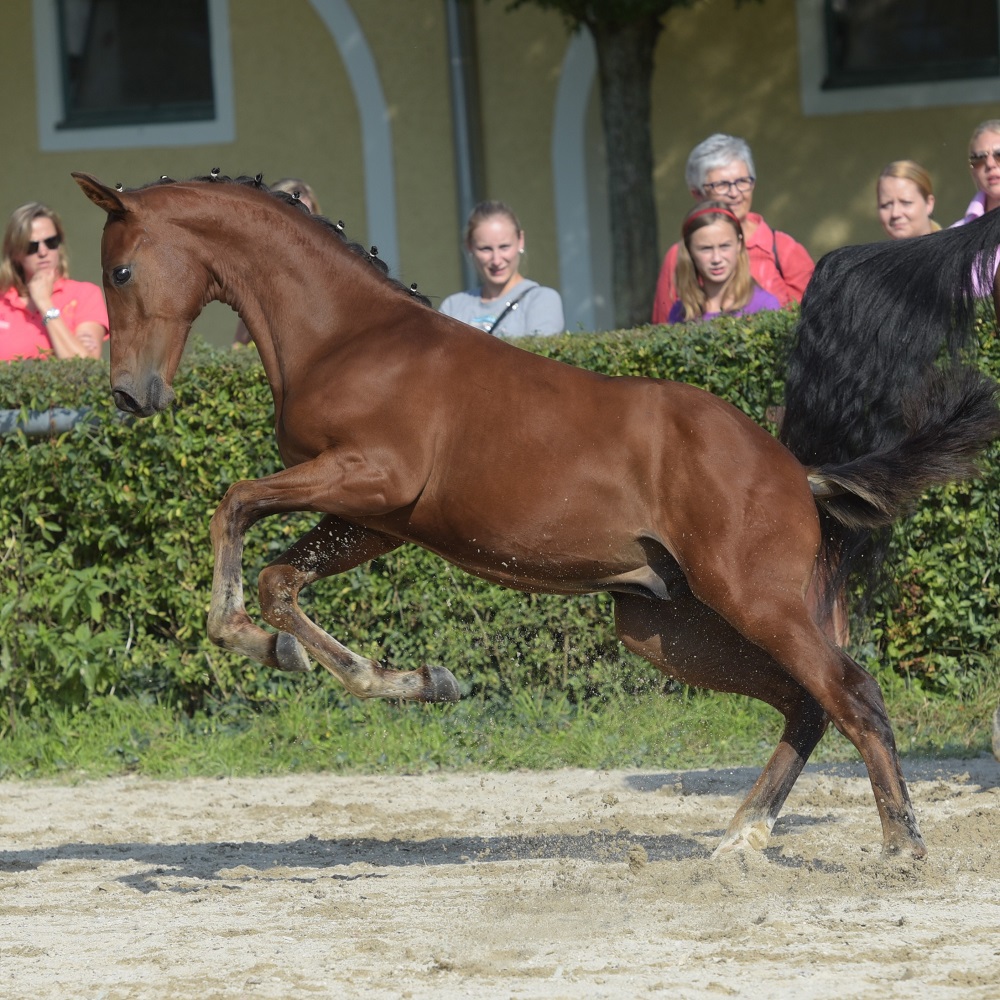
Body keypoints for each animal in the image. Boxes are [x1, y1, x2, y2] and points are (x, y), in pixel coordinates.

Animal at [72, 168, 1000, 856]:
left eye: (120, 272)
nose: (131, 395)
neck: (347, 335)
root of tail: (793, 469)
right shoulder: (371, 519)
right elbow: (278, 581)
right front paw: (397, 677)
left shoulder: (369, 481)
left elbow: (233, 509)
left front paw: (265, 641)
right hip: (666, 626)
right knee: (805, 703)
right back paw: (740, 837)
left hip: (752, 599)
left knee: (850, 691)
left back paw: (900, 846)